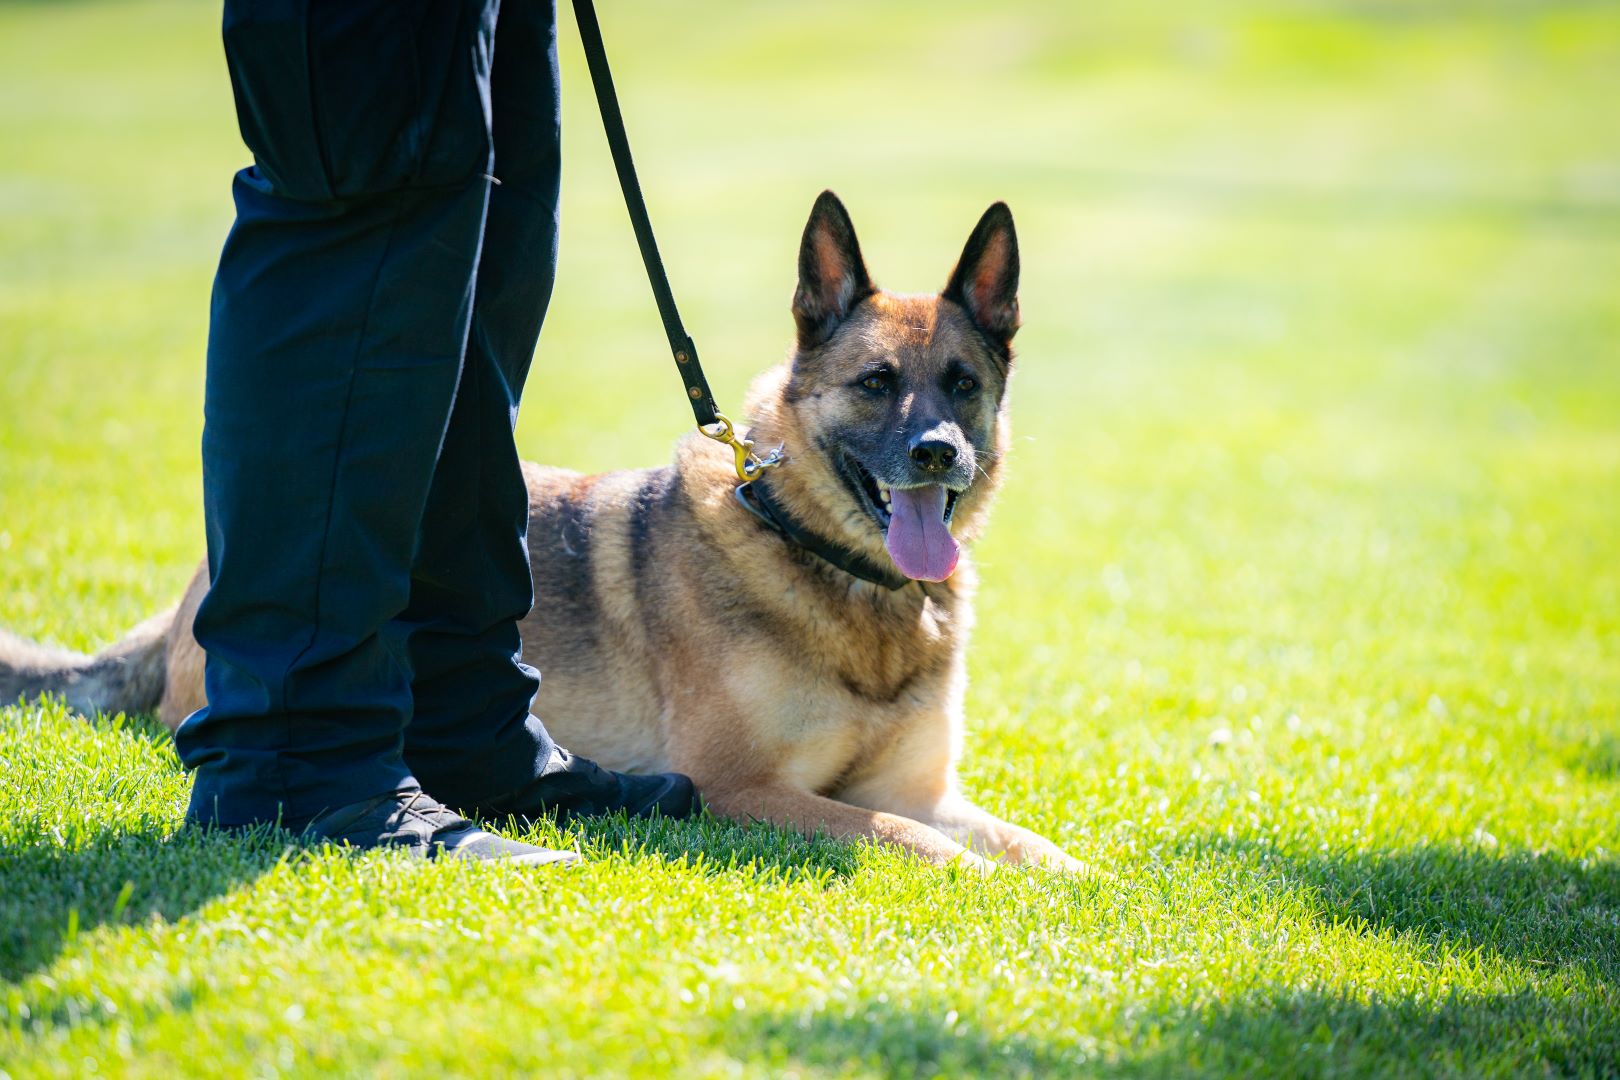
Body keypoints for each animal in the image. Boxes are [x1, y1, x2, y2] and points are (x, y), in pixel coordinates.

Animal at [6, 190, 1088, 874]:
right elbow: (911, 841)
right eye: (875, 384)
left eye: (962, 385)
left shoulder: (924, 787)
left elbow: (1031, 843)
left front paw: (1086, 889)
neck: (830, 567)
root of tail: (192, 592)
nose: (939, 454)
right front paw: (988, 886)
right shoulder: (749, 791)